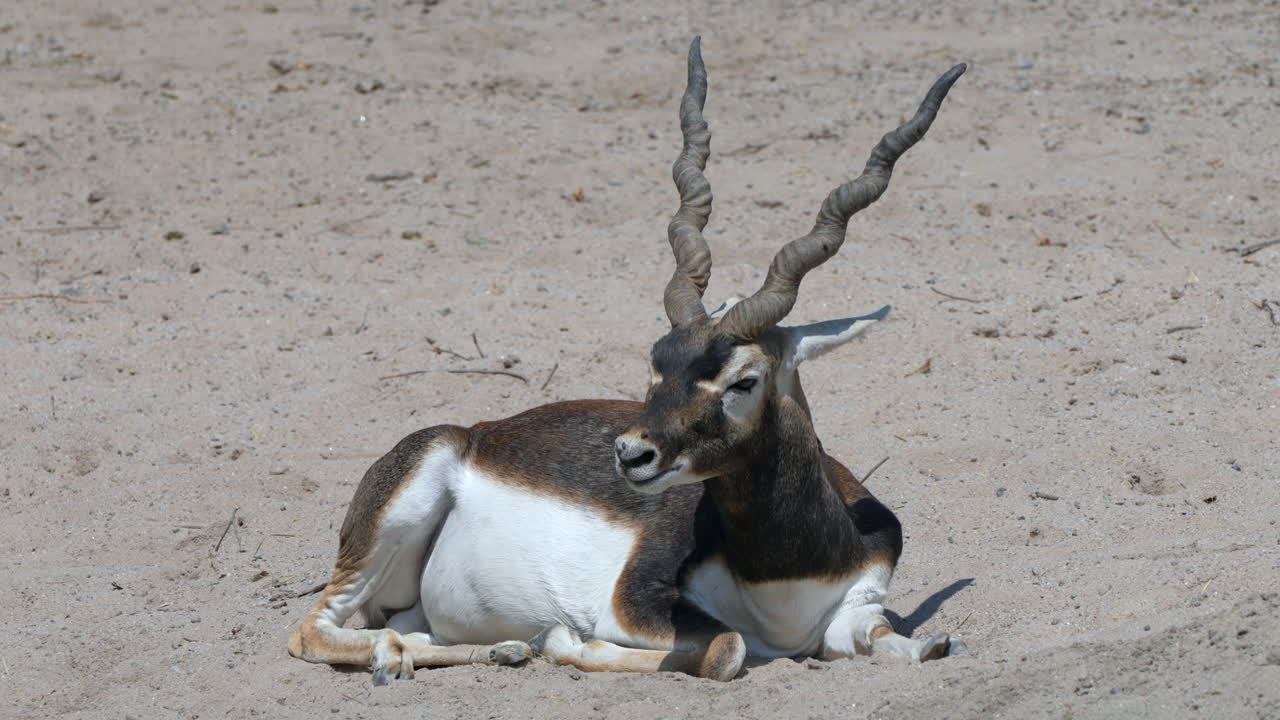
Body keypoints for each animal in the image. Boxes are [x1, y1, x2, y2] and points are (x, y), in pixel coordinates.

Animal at [289, 38, 966, 683]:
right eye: (657, 364)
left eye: (743, 380)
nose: (631, 454)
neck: (785, 579)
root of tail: (474, 434)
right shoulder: (634, 607)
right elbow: (726, 648)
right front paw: (566, 641)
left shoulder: (858, 608)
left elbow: (905, 644)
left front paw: (927, 643)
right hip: (391, 524)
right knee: (314, 632)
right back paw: (408, 656)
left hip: (419, 600)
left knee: (413, 631)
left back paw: (499, 650)